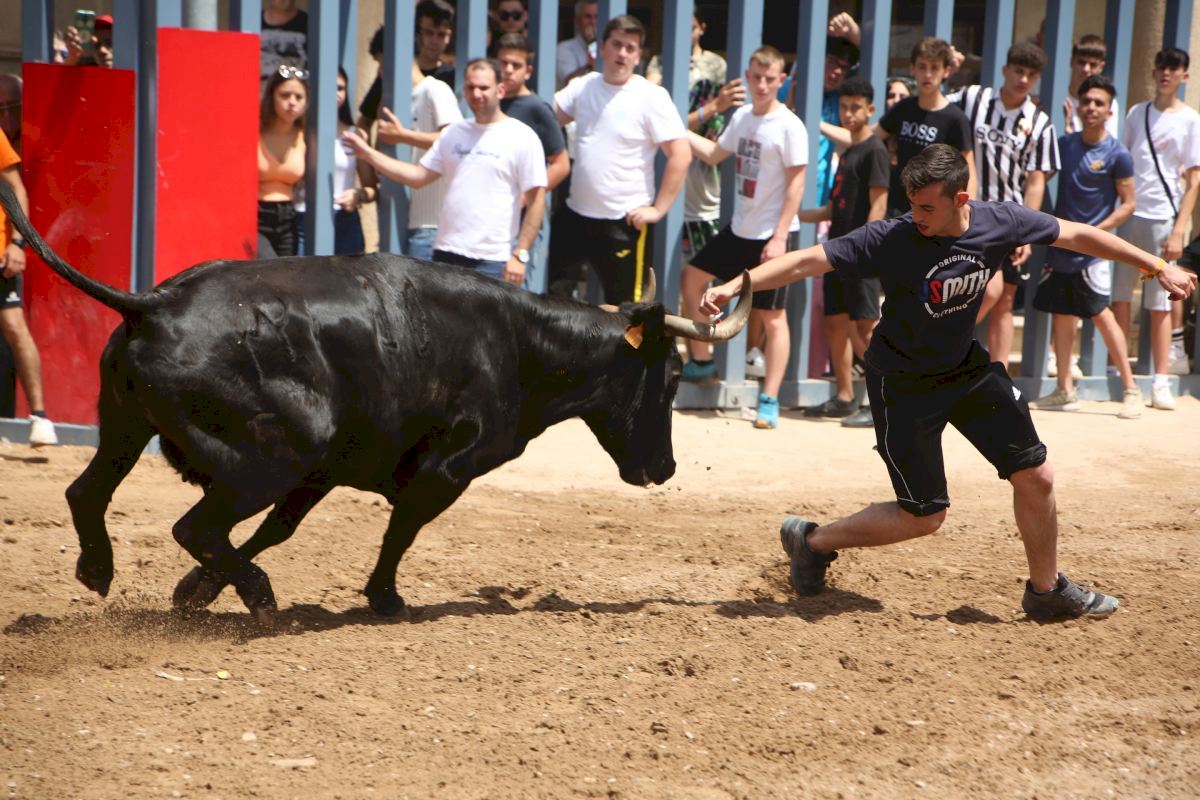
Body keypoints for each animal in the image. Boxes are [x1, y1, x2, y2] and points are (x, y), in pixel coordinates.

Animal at [0, 183, 751, 623]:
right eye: (673, 376)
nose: (665, 469)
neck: (512, 342)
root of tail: (154, 303)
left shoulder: (324, 473)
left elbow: (278, 529)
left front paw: (194, 593)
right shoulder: (444, 470)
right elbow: (401, 531)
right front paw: (385, 598)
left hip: (127, 429)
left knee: (88, 493)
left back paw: (101, 571)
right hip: (268, 456)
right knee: (196, 527)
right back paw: (260, 596)